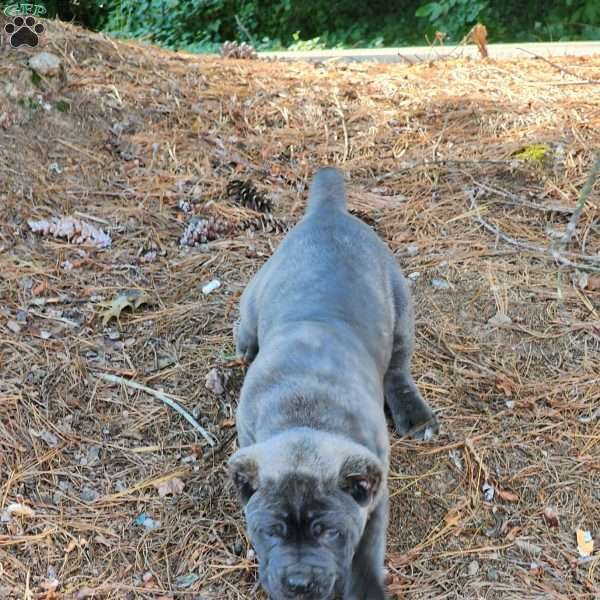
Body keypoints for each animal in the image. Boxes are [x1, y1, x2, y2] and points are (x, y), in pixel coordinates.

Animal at [229, 168, 436, 600]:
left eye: (329, 532)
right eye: (271, 531)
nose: (298, 584)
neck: (306, 417)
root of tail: (329, 211)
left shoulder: (373, 497)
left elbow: (365, 555)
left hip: (401, 307)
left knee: (397, 368)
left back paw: (414, 413)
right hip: (255, 299)